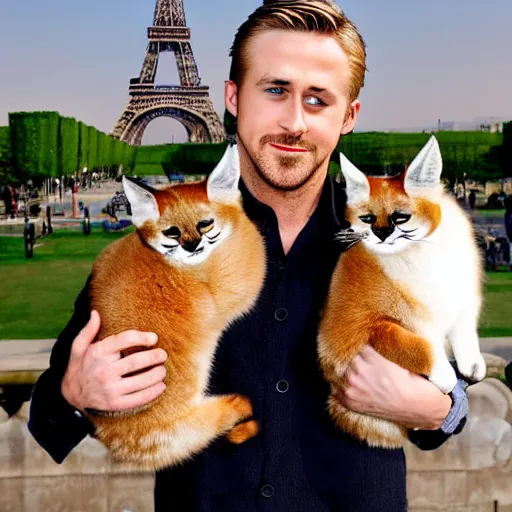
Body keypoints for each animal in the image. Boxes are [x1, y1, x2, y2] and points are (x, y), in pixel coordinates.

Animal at [318, 137, 486, 448]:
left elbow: (464, 333)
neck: (420, 251)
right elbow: (419, 347)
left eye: (401, 218)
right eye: (367, 218)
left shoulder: (461, 304)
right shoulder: (365, 328)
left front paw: (472, 367)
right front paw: (445, 376)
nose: (381, 233)